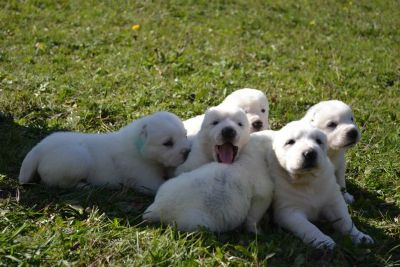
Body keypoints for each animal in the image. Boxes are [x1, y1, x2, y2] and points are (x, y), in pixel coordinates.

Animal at [19, 111, 191, 195]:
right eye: (167, 143)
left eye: (185, 135)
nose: (187, 152)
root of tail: (39, 149)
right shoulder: (147, 180)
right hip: (78, 159)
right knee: (55, 183)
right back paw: (84, 186)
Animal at [143, 132, 276, 234]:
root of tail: (156, 209)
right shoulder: (262, 191)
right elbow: (256, 211)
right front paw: (257, 230)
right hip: (195, 221)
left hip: (167, 186)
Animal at [270, 121, 374, 251]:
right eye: (290, 142)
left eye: (318, 141)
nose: (310, 153)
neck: (308, 181)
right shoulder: (288, 211)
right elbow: (307, 226)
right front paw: (323, 241)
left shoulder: (333, 202)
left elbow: (346, 221)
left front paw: (360, 237)